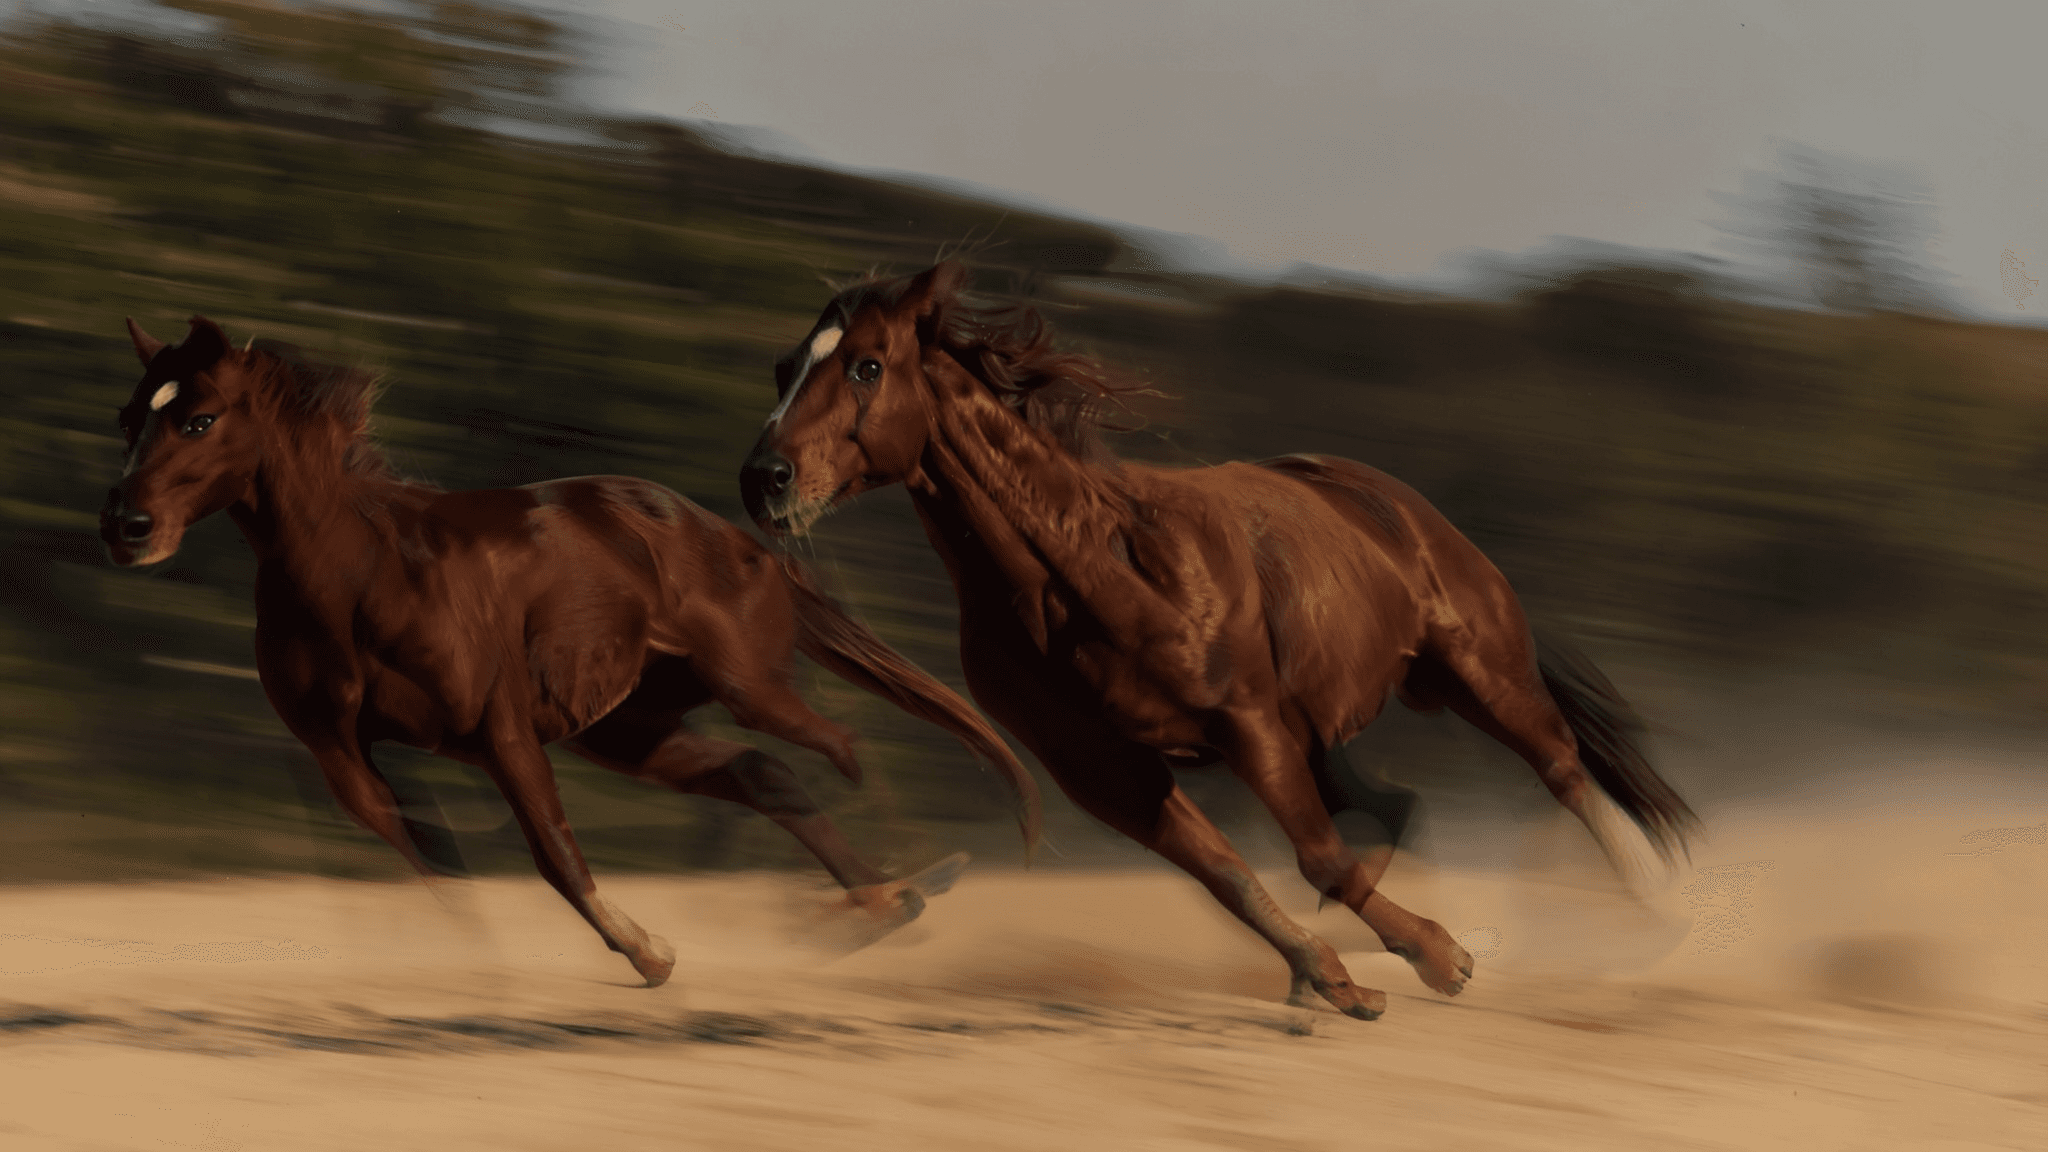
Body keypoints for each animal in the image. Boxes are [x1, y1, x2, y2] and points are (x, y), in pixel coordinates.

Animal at [99, 315, 1042, 988]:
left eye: (199, 418)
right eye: (129, 417)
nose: (125, 527)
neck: (360, 573)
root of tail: (741, 539)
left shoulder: (498, 728)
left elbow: (551, 851)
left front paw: (650, 952)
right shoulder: (345, 756)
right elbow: (432, 858)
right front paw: (490, 970)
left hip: (745, 683)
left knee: (841, 746)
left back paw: (913, 880)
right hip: (631, 728)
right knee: (764, 773)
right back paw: (877, 905)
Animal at [737, 262, 1698, 1021]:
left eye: (866, 365)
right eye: (784, 366)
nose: (764, 479)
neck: (1084, 574)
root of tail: (1391, 500)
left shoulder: (1247, 724)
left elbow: (1319, 860)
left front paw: (1440, 957)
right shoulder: (1111, 775)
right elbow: (1229, 877)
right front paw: (1337, 979)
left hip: (1475, 670)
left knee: (1562, 769)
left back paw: (1661, 919)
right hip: (1327, 735)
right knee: (1394, 805)